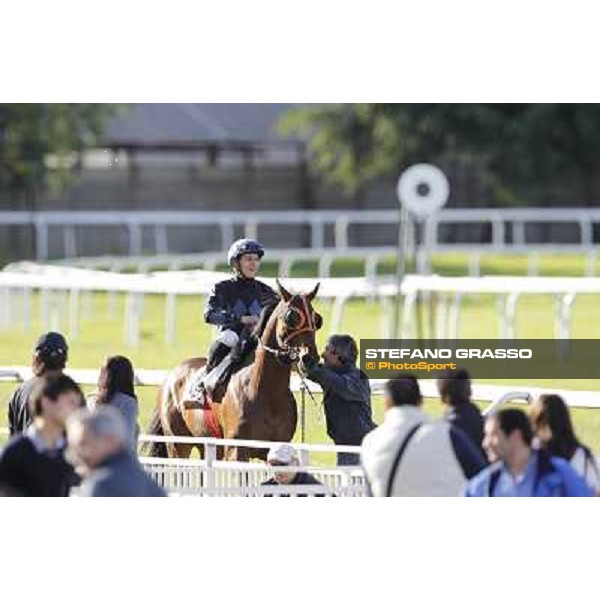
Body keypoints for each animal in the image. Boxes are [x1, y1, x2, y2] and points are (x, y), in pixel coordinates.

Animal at [146, 280, 322, 460]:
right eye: (291, 317)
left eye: (316, 319)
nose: (309, 359)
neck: (265, 390)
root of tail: (171, 376)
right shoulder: (236, 449)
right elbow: (210, 313)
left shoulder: (276, 447)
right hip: (178, 443)